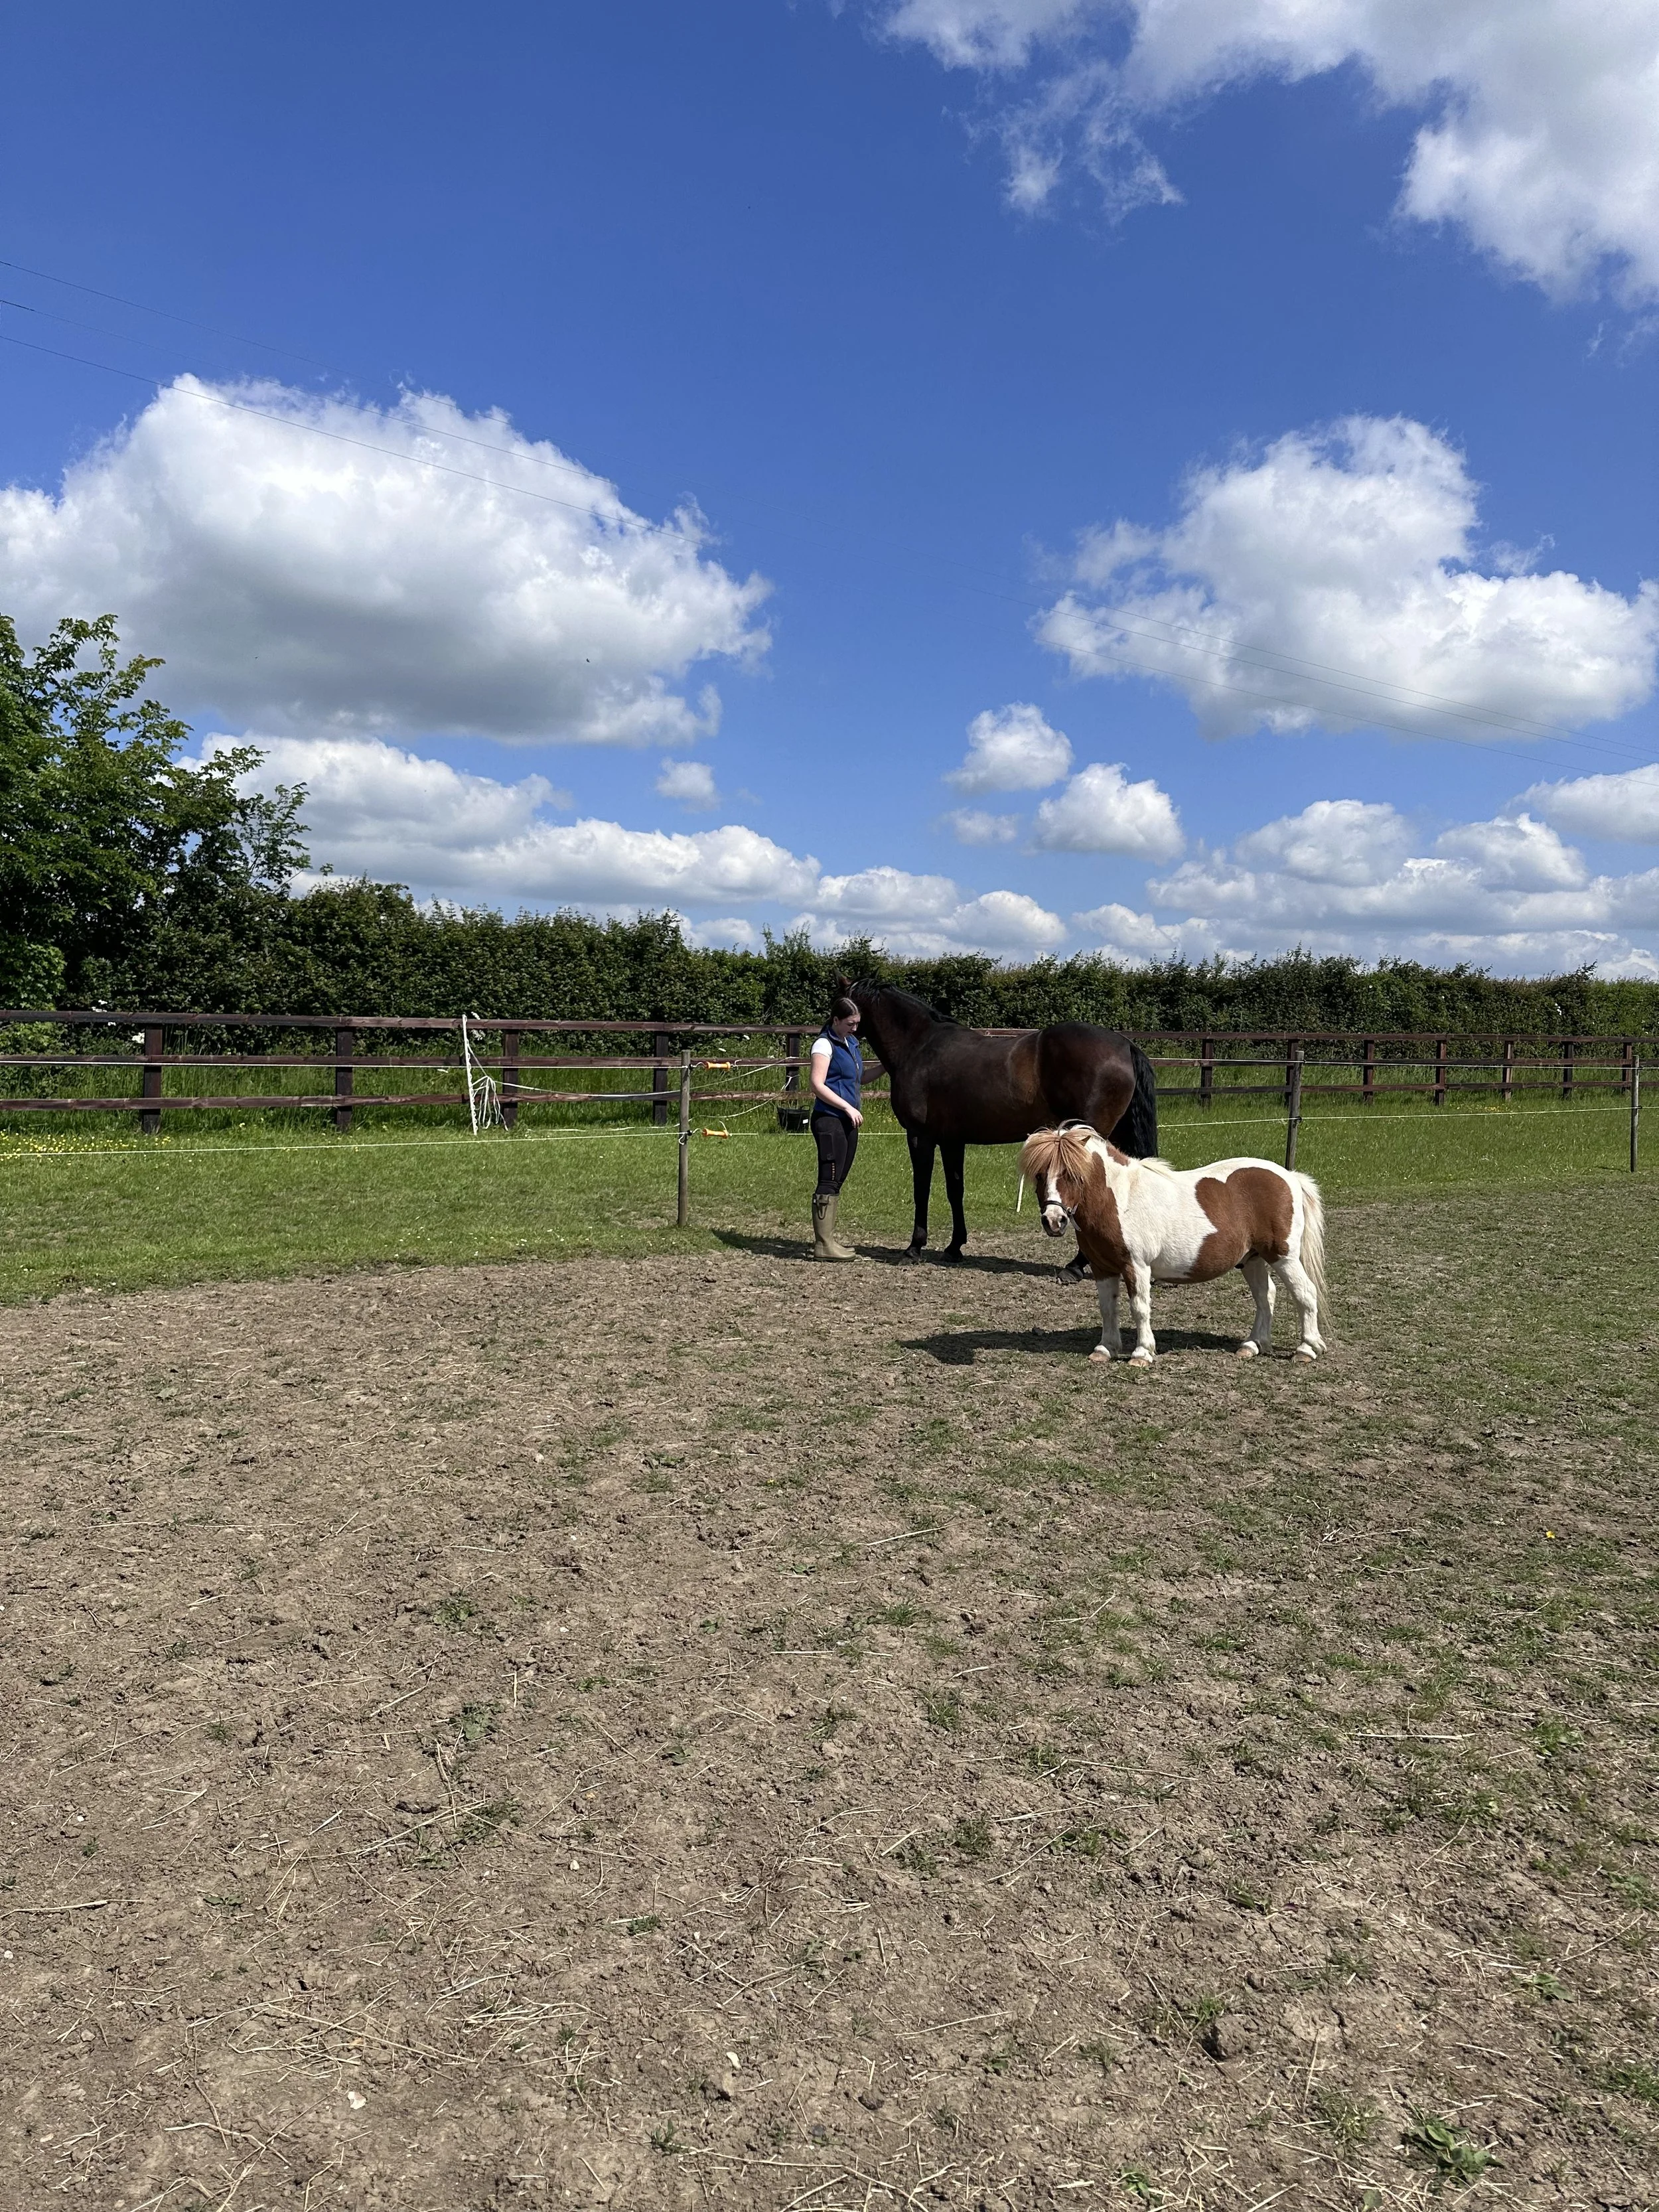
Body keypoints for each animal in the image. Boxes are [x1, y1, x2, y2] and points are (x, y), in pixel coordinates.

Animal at [843, 979, 1158, 1263]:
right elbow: (955, 1190)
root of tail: (1125, 1045)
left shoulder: (921, 1136)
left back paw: (1077, 1266)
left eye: (839, 1000)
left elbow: (922, 1189)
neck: (919, 1046)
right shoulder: (952, 1140)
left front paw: (914, 1248)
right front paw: (954, 1248)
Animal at [1018, 1123, 1328, 1364]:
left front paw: (1142, 1354)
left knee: (1305, 1293)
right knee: (1266, 1296)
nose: (1054, 1220)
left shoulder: (1137, 1267)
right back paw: (1252, 1346)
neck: (1118, 1199)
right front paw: (1105, 1350)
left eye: (1072, 1174)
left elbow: (1139, 1307)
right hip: (1252, 1259)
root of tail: (1289, 1177)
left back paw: (1306, 1349)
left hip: (1284, 1257)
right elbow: (1108, 1308)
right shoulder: (1103, 1268)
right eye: (1040, 1175)